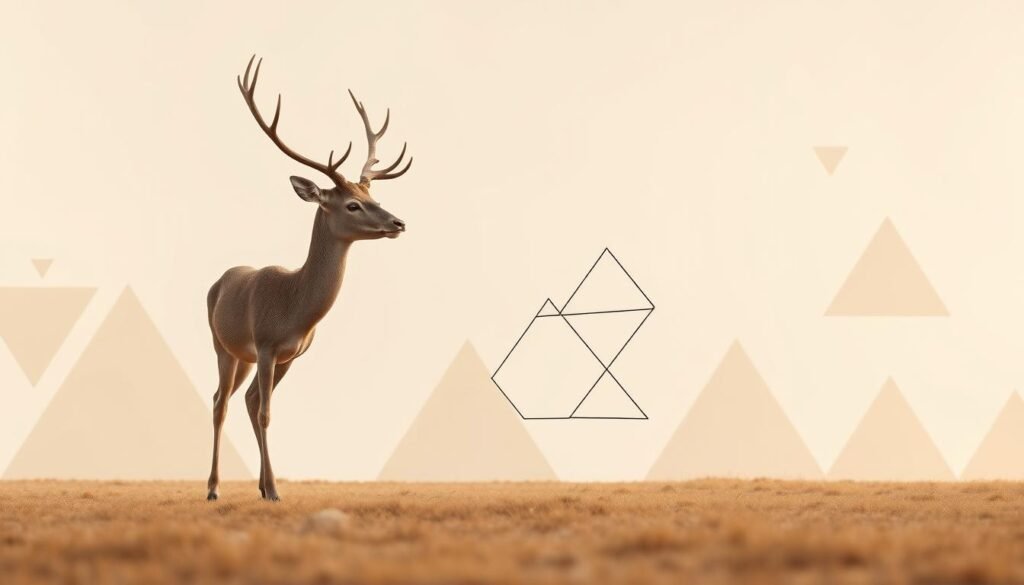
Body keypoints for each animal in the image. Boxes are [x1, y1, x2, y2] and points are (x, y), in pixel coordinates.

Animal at [206, 55, 412, 501]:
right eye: (352, 204)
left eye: (373, 197)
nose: (398, 223)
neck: (295, 308)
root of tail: (221, 279)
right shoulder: (266, 345)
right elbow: (266, 413)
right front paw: (275, 491)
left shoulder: (291, 355)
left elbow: (262, 408)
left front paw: (269, 488)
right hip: (223, 345)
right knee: (220, 402)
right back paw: (212, 488)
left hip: (245, 357)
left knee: (244, 399)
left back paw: (255, 484)